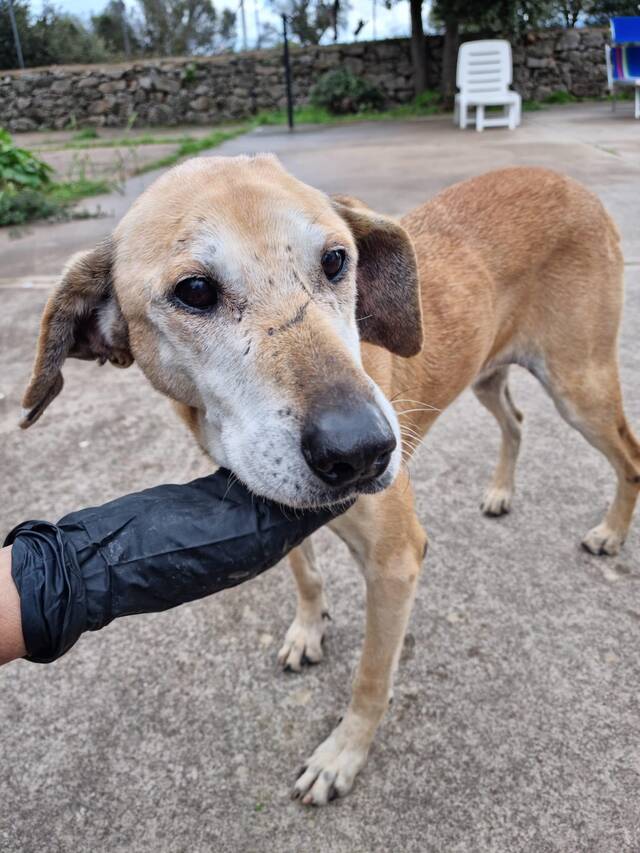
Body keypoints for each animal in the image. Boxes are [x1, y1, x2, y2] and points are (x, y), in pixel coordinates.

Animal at [20, 158, 640, 806]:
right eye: (194, 291)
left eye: (337, 260)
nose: (364, 451)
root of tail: (565, 179)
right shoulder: (274, 504)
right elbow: (306, 572)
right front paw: (308, 629)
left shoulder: (396, 561)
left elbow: (370, 677)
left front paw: (342, 755)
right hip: (489, 375)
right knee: (516, 421)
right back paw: (501, 492)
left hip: (580, 386)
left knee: (630, 457)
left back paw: (611, 532)